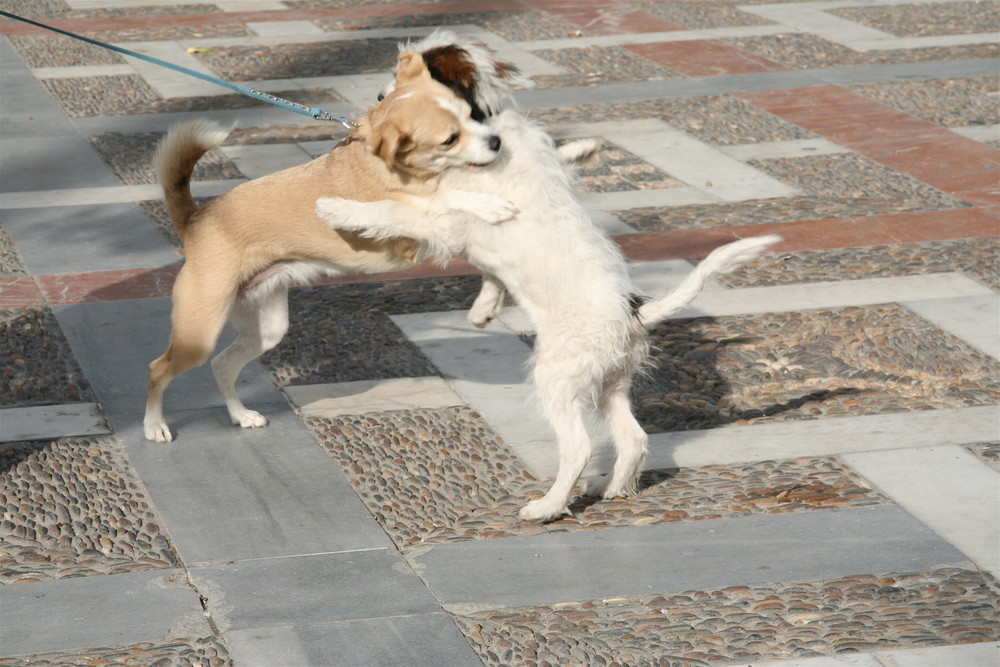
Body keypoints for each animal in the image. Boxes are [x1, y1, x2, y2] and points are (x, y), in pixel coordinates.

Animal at [145, 53, 512, 444]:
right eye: (449, 139)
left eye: (471, 114)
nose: (497, 142)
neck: (391, 166)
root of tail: (196, 220)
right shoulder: (407, 234)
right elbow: (440, 201)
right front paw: (488, 204)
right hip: (198, 333)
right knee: (159, 369)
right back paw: (154, 425)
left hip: (266, 328)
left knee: (222, 366)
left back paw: (240, 415)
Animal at [316, 35, 776, 520]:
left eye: (409, 76)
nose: (379, 98)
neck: (487, 126)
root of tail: (635, 312)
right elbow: (492, 267)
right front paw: (484, 308)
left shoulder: (447, 218)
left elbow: (393, 210)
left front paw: (339, 209)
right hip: (609, 382)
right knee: (633, 437)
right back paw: (614, 489)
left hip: (557, 377)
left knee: (578, 448)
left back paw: (547, 507)